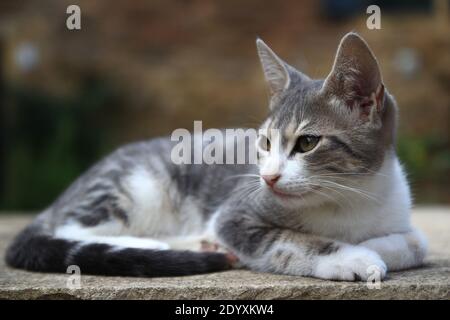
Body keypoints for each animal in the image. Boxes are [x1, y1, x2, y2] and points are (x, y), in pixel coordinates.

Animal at [7, 33, 428, 282]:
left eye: (307, 142)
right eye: (264, 143)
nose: (268, 177)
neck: (349, 198)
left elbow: (417, 242)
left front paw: (376, 246)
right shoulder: (235, 215)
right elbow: (285, 241)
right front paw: (351, 257)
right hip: (132, 187)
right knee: (69, 230)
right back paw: (160, 245)